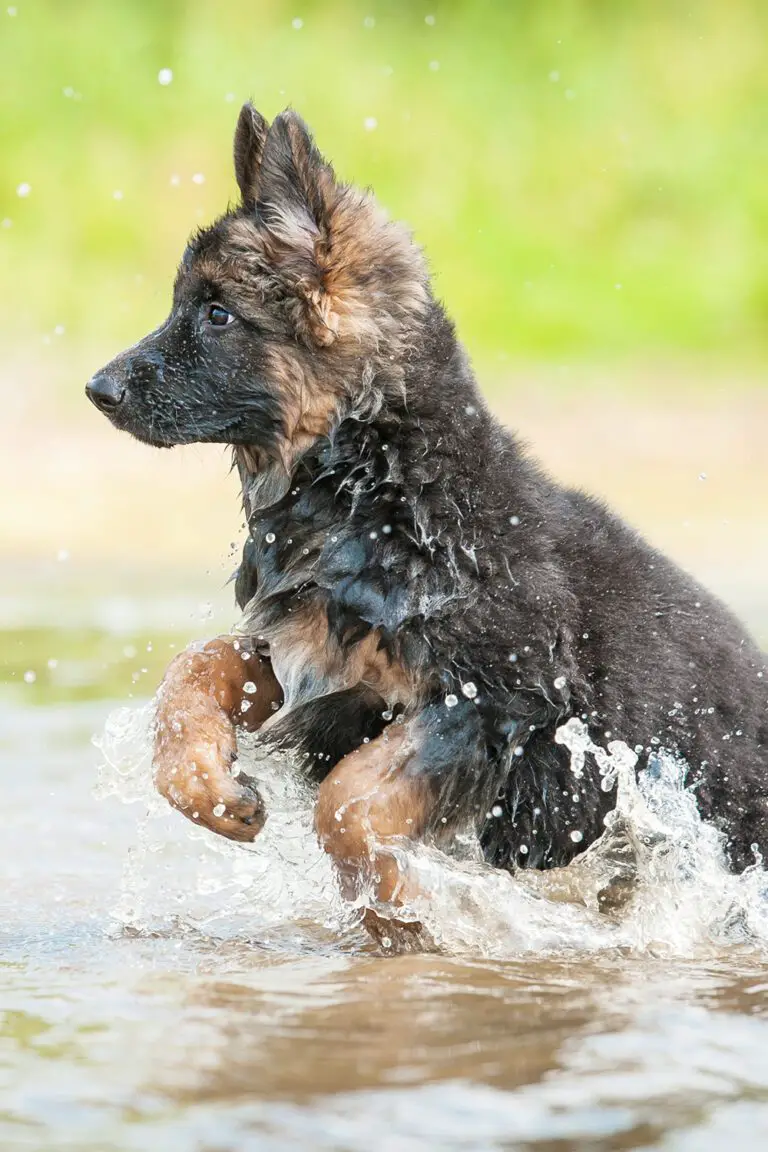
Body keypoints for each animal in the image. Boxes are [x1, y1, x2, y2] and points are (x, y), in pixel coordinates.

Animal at [90, 105, 768, 916]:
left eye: (218, 314)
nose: (97, 389)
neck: (379, 487)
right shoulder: (317, 663)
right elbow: (194, 667)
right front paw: (209, 786)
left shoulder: (500, 700)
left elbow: (348, 801)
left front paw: (403, 905)